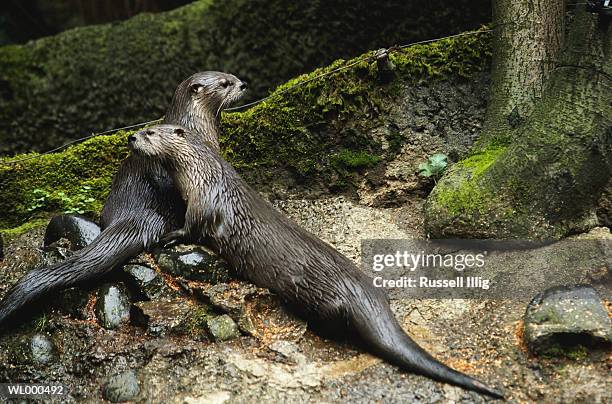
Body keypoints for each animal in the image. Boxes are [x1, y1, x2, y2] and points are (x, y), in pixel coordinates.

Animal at [128, 125, 502, 398]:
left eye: (150, 132)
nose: (131, 136)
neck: (201, 171)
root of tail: (361, 292)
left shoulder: (205, 202)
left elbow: (191, 228)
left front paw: (168, 236)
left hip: (316, 296)